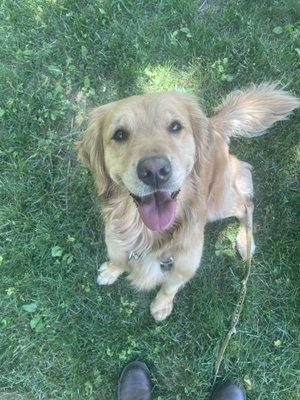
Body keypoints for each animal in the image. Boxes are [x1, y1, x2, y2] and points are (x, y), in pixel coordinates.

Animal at [76, 83, 298, 322]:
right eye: (119, 134)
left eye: (175, 126)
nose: (154, 171)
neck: (146, 236)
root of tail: (213, 124)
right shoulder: (116, 242)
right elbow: (119, 260)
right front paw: (111, 270)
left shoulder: (186, 264)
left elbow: (170, 287)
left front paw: (161, 305)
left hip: (217, 202)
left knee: (246, 203)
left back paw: (245, 242)